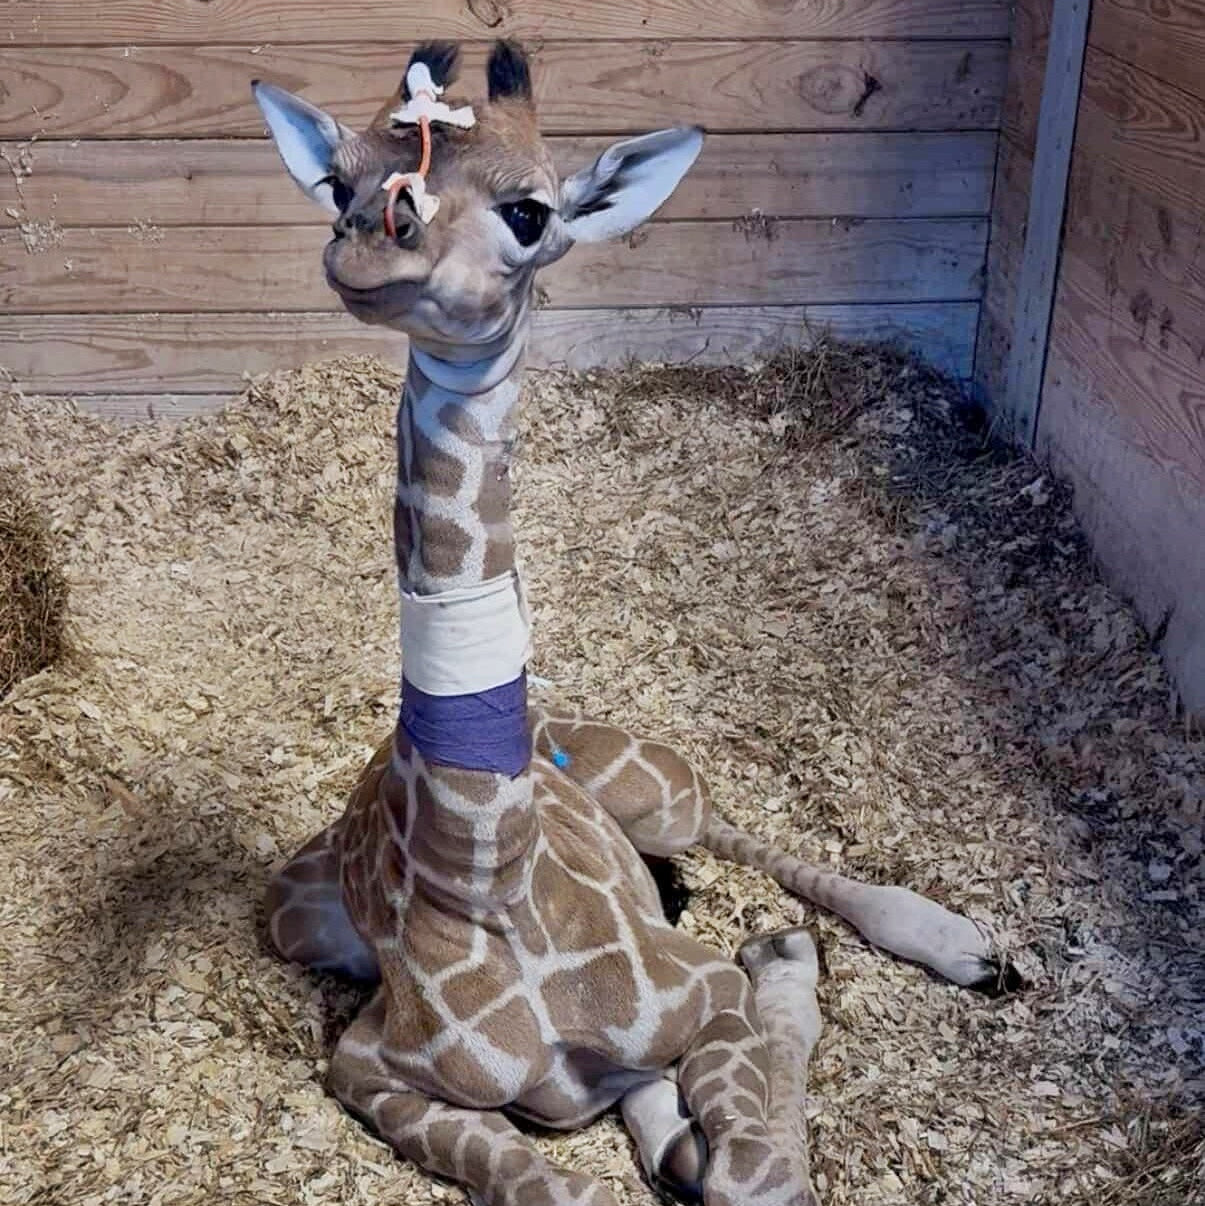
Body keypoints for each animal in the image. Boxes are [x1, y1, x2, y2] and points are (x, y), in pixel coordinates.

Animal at [251, 40, 1017, 1206]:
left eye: (528, 212)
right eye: (338, 186)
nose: (371, 248)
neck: (484, 882)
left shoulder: (697, 995)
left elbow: (751, 1167)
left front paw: (780, 974)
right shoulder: (369, 1068)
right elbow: (592, 1175)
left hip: (658, 791)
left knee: (733, 832)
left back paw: (949, 945)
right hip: (295, 919)